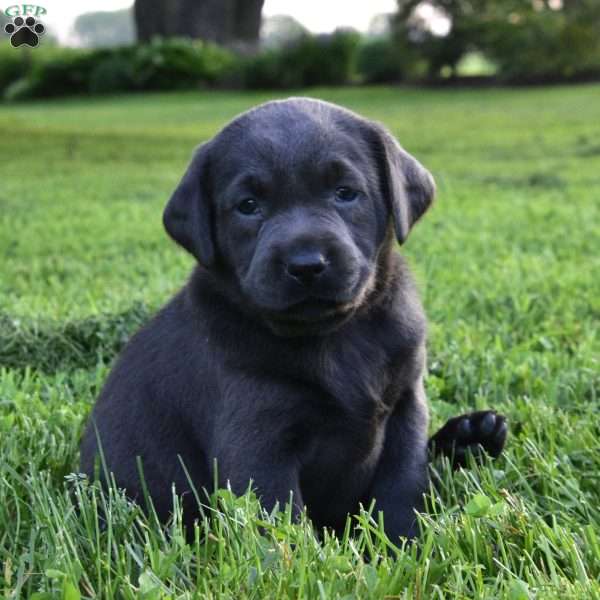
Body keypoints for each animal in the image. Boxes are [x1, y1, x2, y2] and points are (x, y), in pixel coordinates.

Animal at [79, 97, 506, 540]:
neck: (337, 335)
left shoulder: (406, 406)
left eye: (345, 193)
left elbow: (402, 485)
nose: (306, 264)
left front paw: (403, 542)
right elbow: (278, 522)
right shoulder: (256, 441)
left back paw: (473, 436)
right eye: (248, 206)